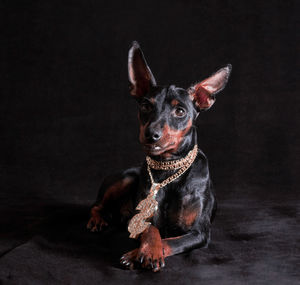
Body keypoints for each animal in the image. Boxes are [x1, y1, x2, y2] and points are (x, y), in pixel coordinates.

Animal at [86, 41, 232, 270]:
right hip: (126, 178)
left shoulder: (199, 233)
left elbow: (171, 241)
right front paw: (146, 251)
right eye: (146, 105)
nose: (151, 134)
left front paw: (138, 254)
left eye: (180, 111)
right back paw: (97, 220)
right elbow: (151, 229)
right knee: (97, 205)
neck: (168, 170)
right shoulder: (143, 219)